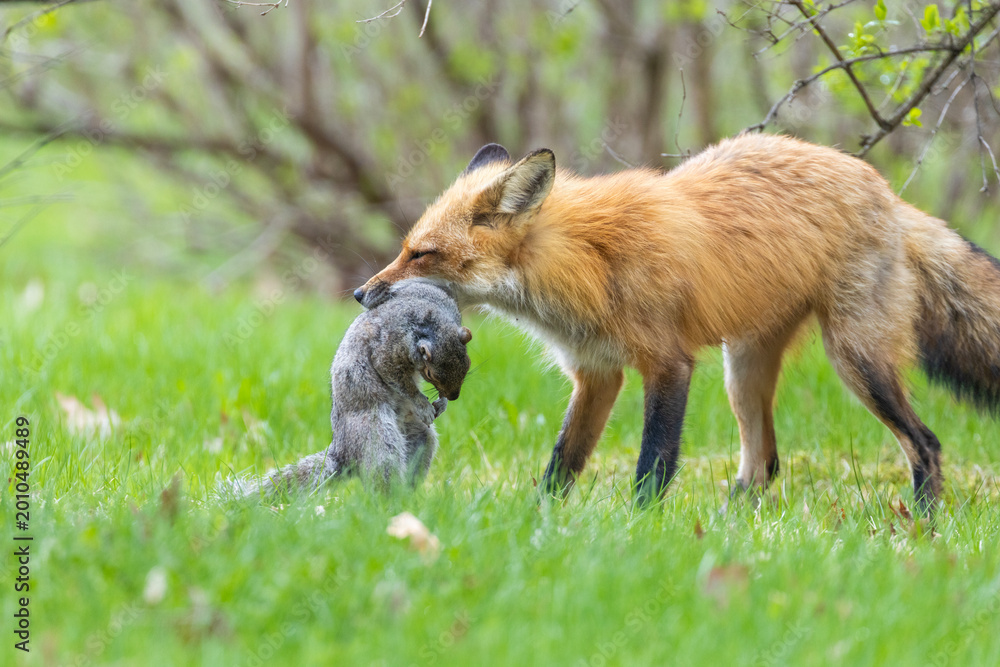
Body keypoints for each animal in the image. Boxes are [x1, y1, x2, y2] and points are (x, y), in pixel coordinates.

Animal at [231, 279, 472, 499]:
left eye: (468, 365)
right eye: (430, 374)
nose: (454, 396)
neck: (431, 319)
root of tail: (345, 453)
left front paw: (441, 404)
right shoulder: (388, 349)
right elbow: (398, 380)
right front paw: (423, 405)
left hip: (419, 439)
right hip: (376, 436)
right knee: (383, 471)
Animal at [355, 133, 1000, 515]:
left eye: (422, 255)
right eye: (406, 249)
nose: (361, 294)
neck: (585, 262)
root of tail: (887, 193)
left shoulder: (668, 363)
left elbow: (653, 462)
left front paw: (637, 532)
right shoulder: (597, 374)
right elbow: (562, 463)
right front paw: (537, 524)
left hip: (856, 359)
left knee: (926, 444)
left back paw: (921, 527)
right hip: (743, 369)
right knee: (764, 463)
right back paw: (728, 526)